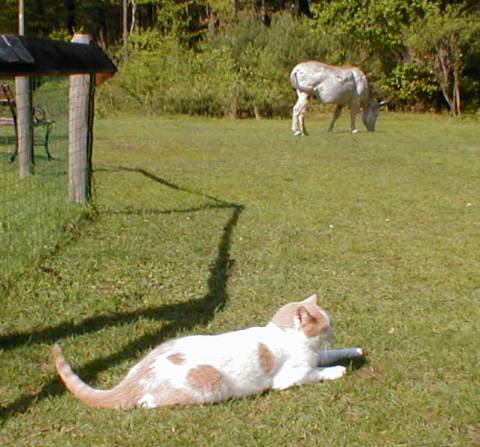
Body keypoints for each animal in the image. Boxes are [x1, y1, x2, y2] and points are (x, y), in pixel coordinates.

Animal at [53, 294, 348, 410]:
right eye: (326, 326)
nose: (333, 333)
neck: (283, 334)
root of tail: (138, 376)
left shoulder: (316, 354)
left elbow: (331, 354)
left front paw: (352, 350)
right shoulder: (291, 378)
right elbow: (319, 371)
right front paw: (338, 370)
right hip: (209, 384)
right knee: (149, 401)